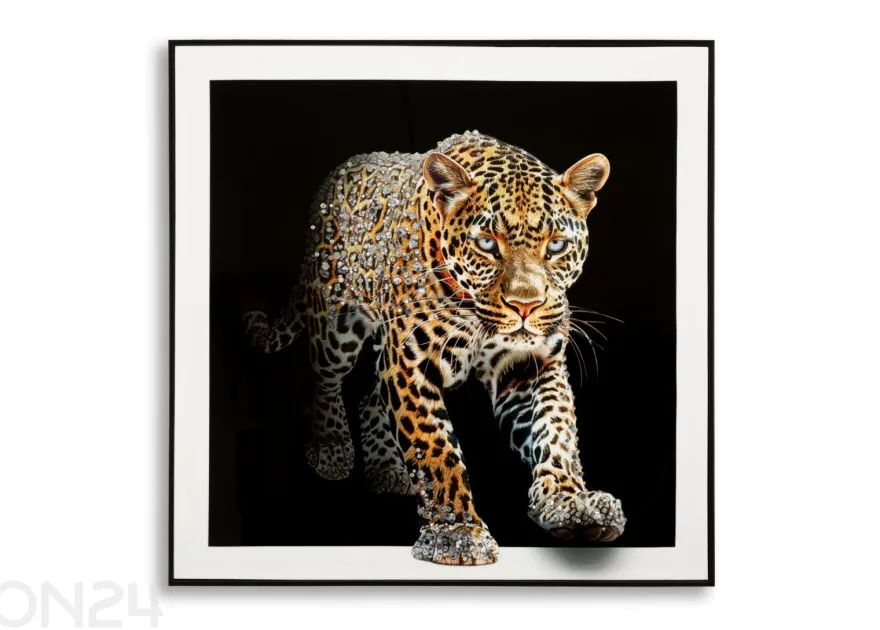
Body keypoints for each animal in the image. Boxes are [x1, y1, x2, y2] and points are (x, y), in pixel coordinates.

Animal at [244, 131, 626, 565]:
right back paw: (331, 447)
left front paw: (570, 504)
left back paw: (387, 469)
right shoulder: (411, 362)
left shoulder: (530, 364)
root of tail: (339, 171)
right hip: (335, 325)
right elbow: (435, 448)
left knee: (370, 397)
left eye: (557, 246)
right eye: (487, 244)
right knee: (323, 379)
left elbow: (556, 429)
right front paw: (455, 532)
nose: (525, 306)